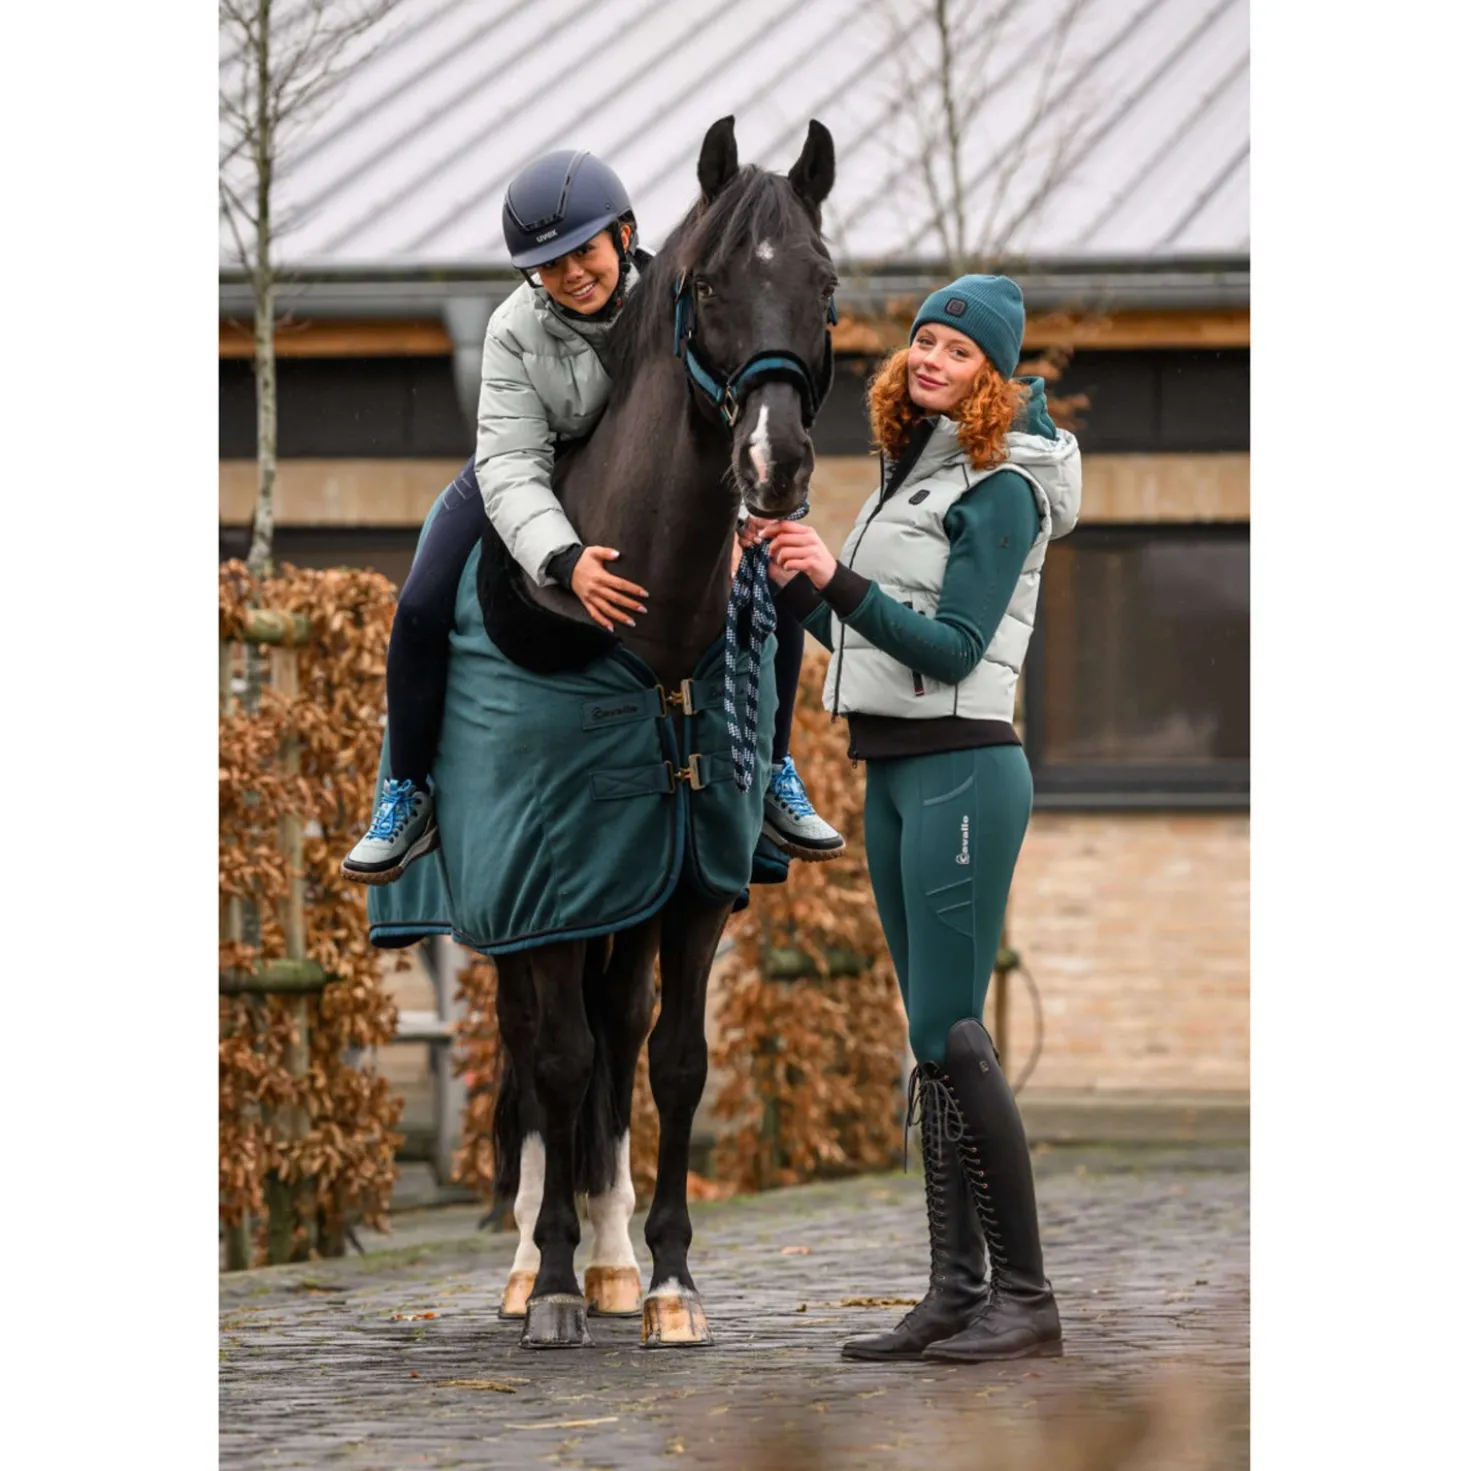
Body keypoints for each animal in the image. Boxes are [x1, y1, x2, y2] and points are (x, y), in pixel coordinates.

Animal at [487, 114, 838, 1350]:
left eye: (825, 283)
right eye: (709, 284)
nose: (774, 464)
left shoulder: (693, 892)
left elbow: (673, 1063)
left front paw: (669, 1280)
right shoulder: (542, 891)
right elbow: (555, 1061)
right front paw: (548, 1285)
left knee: (616, 1037)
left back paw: (610, 1258)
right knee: (538, 1053)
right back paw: (536, 1265)